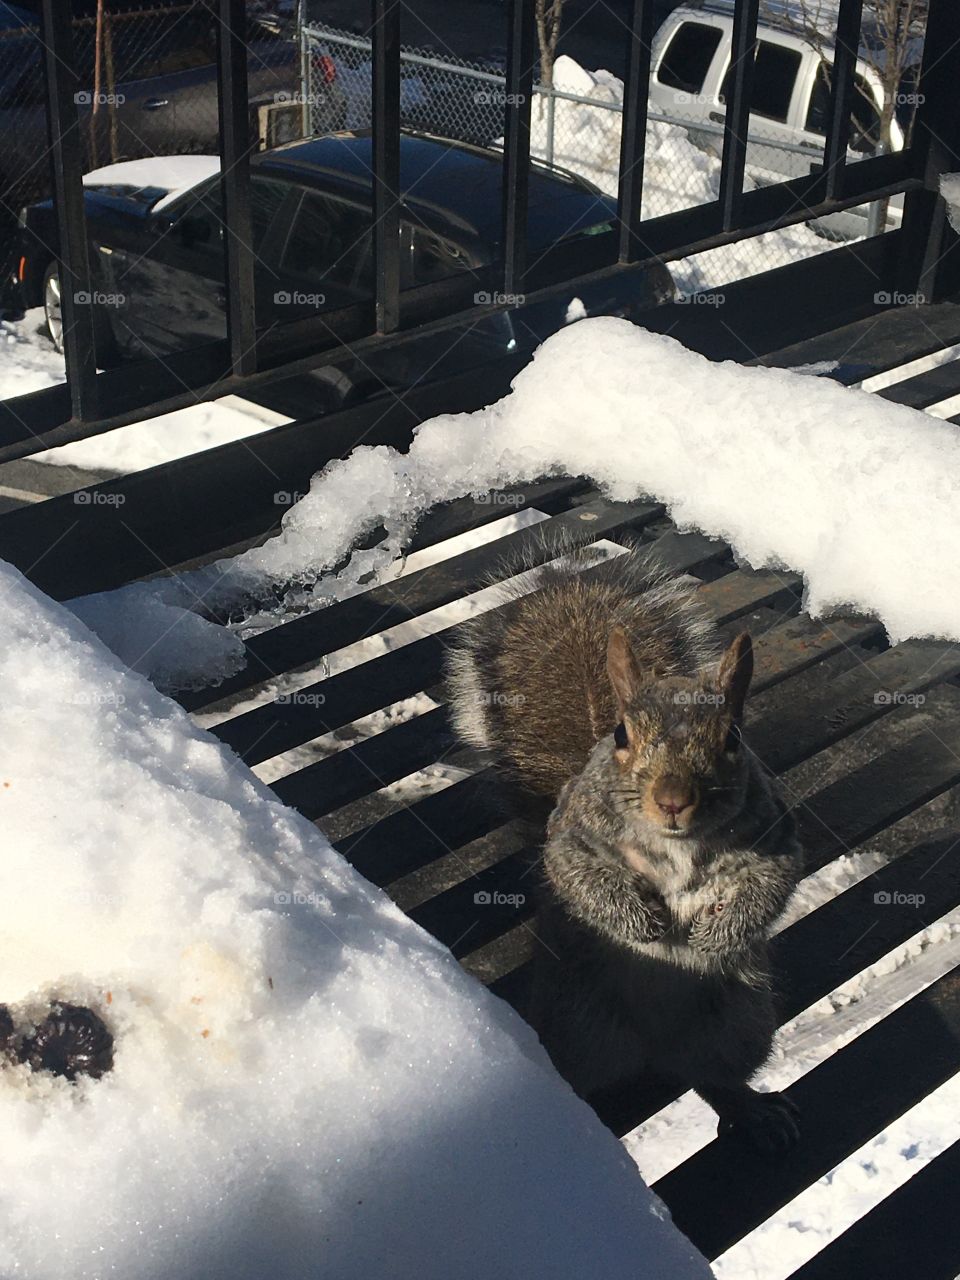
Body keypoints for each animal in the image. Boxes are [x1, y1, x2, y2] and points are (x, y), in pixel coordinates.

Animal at [446, 544, 803, 1151]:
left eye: (732, 739)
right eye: (621, 735)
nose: (673, 799)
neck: (678, 843)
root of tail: (656, 1048)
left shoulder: (775, 836)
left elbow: (770, 885)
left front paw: (715, 933)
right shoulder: (572, 837)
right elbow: (580, 877)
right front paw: (643, 922)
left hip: (738, 1021)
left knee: (711, 1077)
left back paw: (750, 1109)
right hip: (578, 1021)